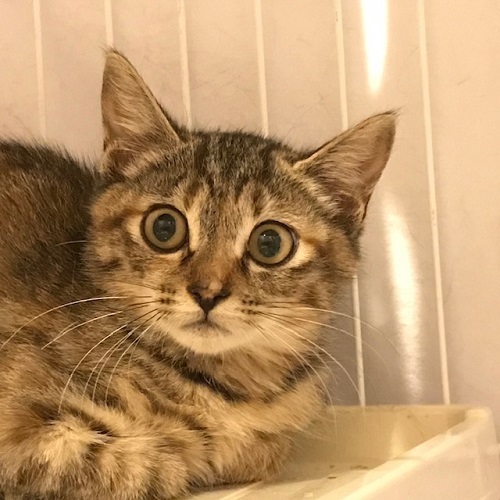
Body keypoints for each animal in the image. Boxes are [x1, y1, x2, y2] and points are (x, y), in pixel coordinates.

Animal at [0, 49, 395, 499]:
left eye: (270, 244)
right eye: (164, 228)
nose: (207, 292)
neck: (226, 388)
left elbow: (261, 451)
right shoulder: (20, 435)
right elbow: (150, 465)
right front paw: (182, 453)